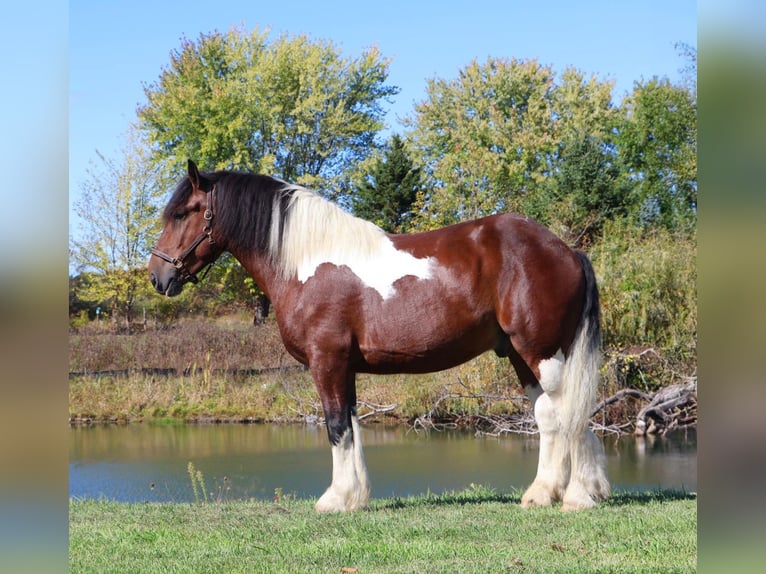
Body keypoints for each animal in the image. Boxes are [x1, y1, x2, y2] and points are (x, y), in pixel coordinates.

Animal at [149, 160, 611, 512]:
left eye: (183, 212)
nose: (158, 276)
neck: (307, 262)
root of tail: (566, 250)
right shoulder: (344, 367)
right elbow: (351, 425)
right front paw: (355, 497)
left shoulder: (327, 361)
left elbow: (336, 425)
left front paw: (335, 500)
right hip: (521, 355)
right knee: (551, 416)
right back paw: (543, 494)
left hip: (544, 353)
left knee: (571, 413)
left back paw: (578, 497)